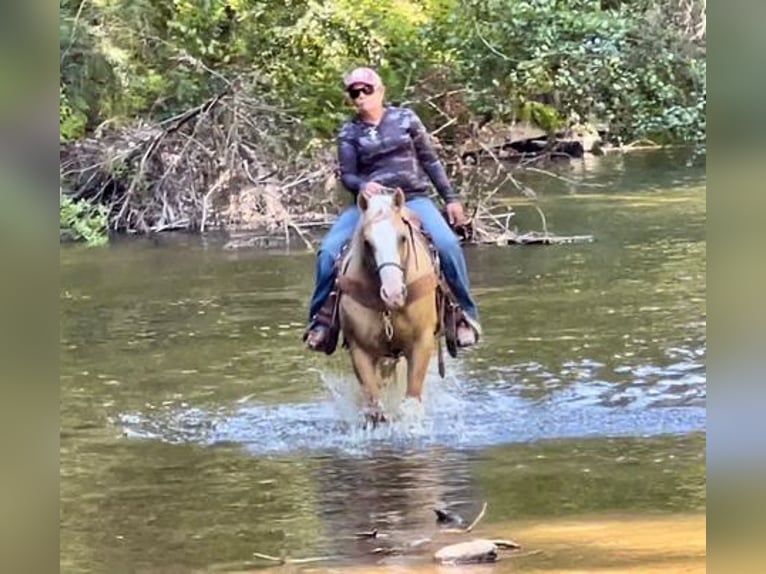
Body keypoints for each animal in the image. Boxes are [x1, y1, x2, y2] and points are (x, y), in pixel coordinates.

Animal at [337, 188, 441, 423]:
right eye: (367, 242)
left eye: (402, 238)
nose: (393, 294)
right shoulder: (360, 350)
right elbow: (375, 411)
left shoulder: (422, 342)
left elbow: (411, 406)